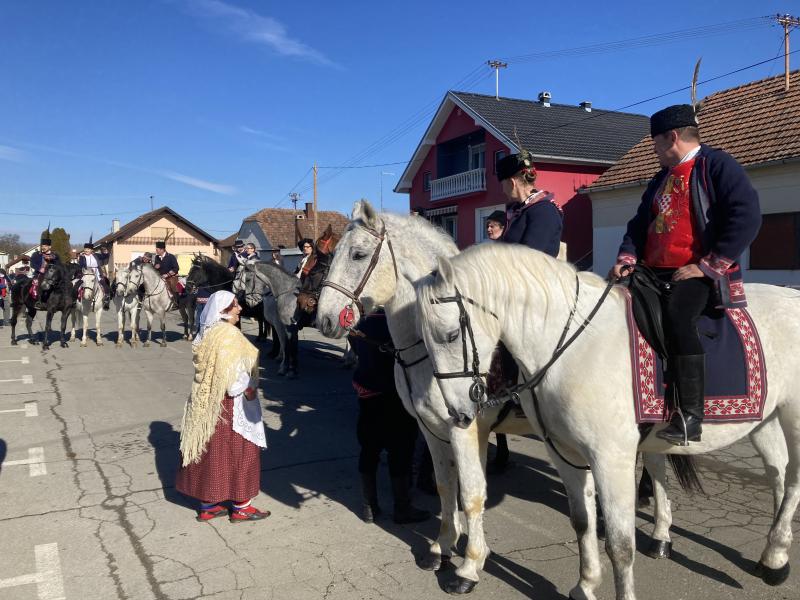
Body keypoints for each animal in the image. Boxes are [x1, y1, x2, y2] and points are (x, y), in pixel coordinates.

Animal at [416, 243, 796, 600]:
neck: (572, 345)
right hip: (764, 421)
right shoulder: (566, 454)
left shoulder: (612, 460)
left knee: (792, 478)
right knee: (778, 471)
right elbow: (582, 523)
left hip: (792, 415)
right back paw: (775, 554)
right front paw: (585, 585)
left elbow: (620, 544)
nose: (458, 413)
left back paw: (775, 557)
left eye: (451, 335)